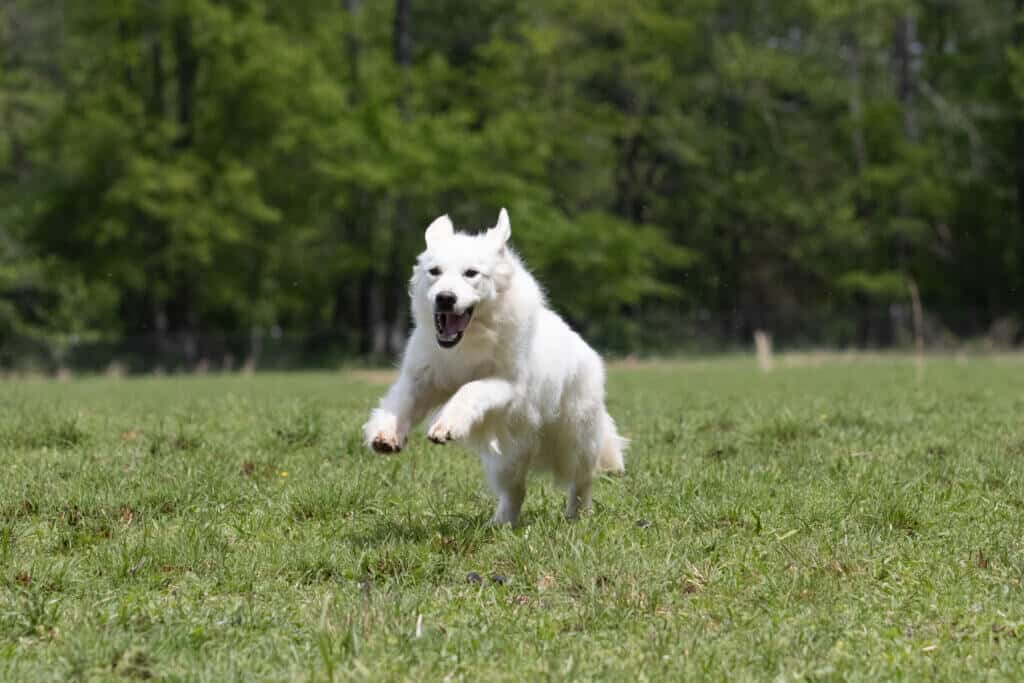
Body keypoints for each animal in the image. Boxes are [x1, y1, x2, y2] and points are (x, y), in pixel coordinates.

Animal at [364, 208, 626, 524]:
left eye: (471, 274)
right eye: (434, 272)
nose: (445, 298)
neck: (468, 341)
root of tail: (586, 350)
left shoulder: (506, 385)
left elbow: (468, 390)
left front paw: (446, 425)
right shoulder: (421, 380)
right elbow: (398, 405)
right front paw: (385, 435)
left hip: (574, 437)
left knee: (583, 478)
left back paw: (578, 516)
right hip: (507, 457)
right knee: (516, 491)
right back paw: (501, 524)